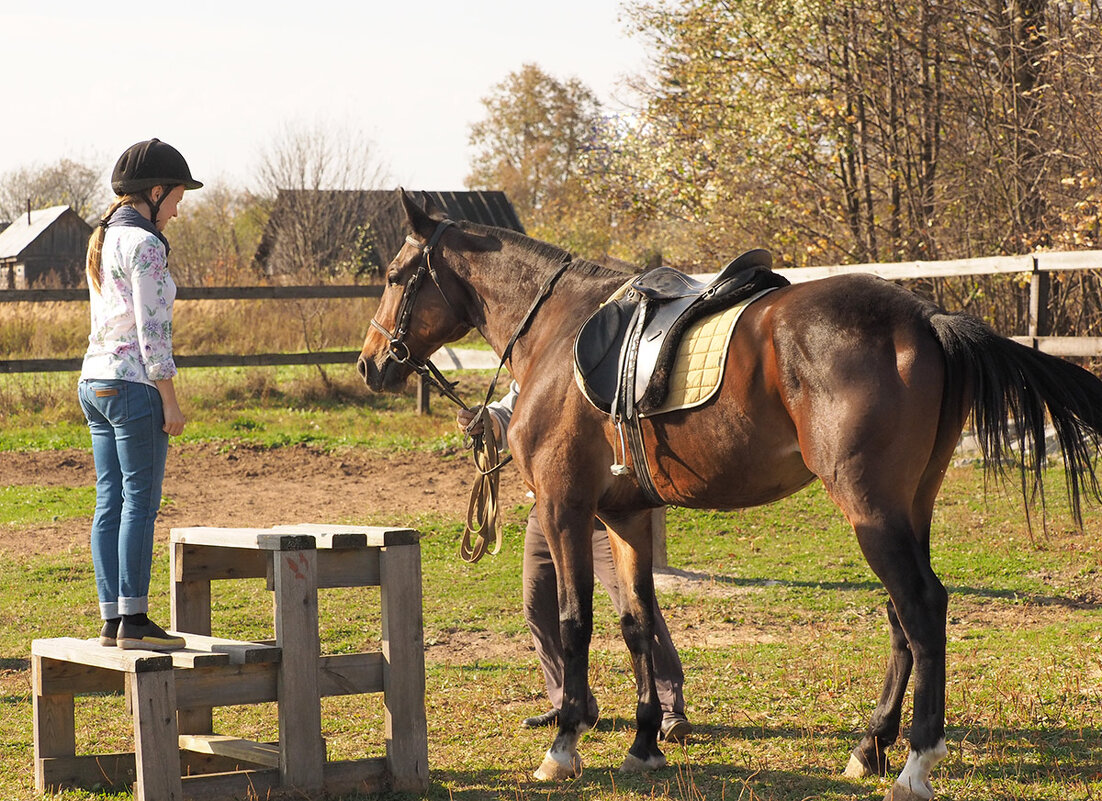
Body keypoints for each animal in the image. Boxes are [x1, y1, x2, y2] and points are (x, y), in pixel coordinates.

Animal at [359, 192, 1102, 801]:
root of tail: (924, 315)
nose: (370, 362)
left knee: (921, 607)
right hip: (906, 508)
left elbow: (575, 623)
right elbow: (636, 623)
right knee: (904, 617)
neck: (559, 334)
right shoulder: (625, 516)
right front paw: (643, 743)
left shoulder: (565, 508)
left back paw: (916, 761)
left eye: (396, 276)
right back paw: (870, 745)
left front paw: (564, 743)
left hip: (869, 508)